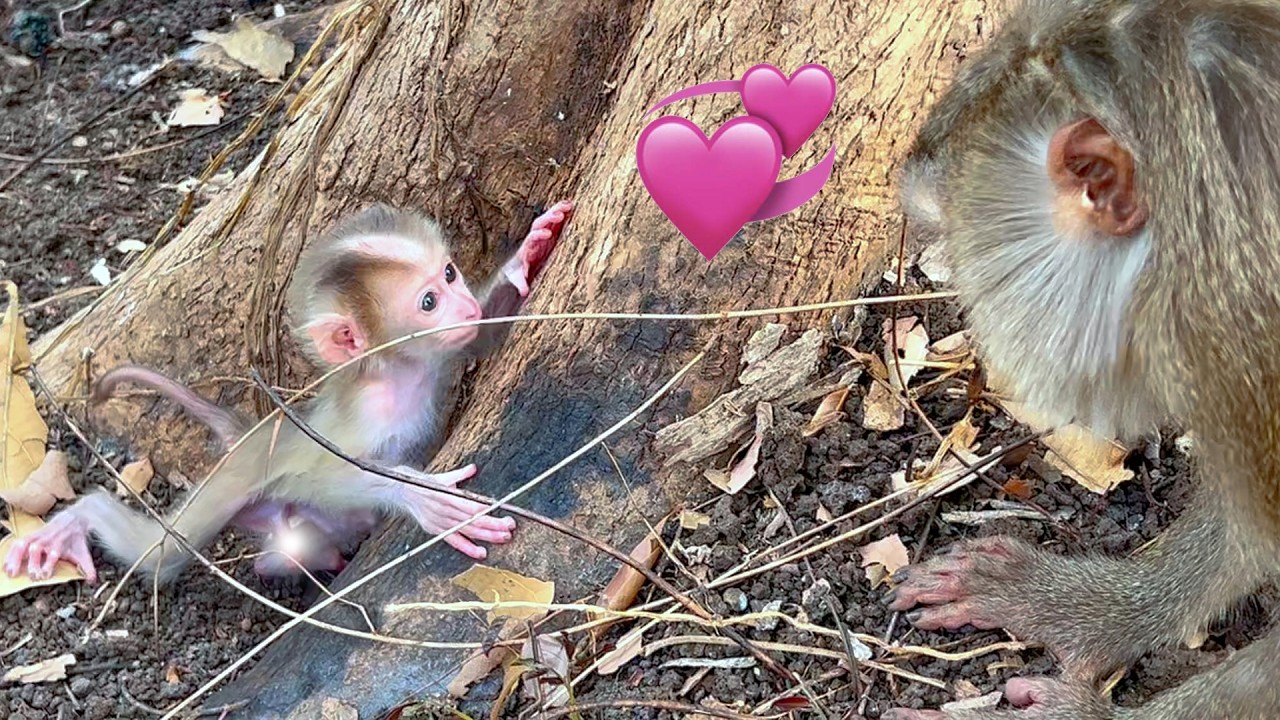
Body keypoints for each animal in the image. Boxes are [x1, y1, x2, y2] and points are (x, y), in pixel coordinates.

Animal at [3, 200, 575, 585]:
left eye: (452, 274)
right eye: (429, 301)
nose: (463, 304)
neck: (397, 375)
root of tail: (248, 435)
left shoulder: (439, 357)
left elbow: (482, 336)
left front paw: (526, 255)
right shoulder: (366, 416)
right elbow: (320, 477)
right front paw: (420, 494)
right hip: (227, 486)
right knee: (160, 554)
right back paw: (77, 521)